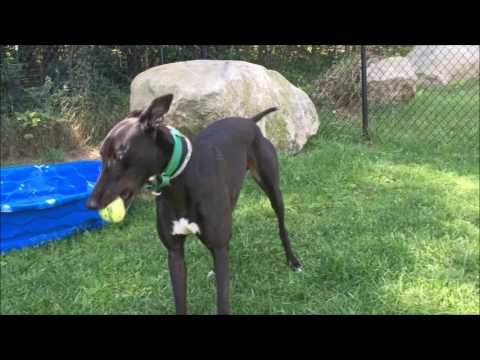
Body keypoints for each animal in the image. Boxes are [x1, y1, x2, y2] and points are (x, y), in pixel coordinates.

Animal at [87, 94, 300, 314]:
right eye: (101, 154)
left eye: (120, 155)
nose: (91, 203)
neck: (181, 181)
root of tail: (249, 121)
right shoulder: (175, 254)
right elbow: (180, 298)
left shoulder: (218, 246)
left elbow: (222, 301)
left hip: (273, 190)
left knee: (281, 226)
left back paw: (293, 261)